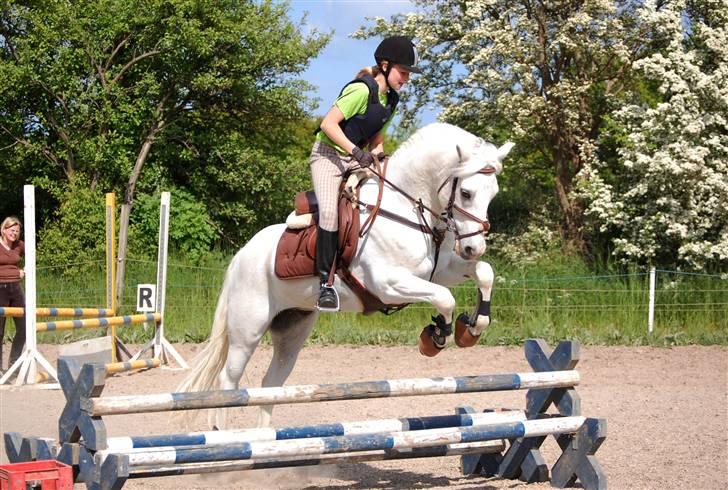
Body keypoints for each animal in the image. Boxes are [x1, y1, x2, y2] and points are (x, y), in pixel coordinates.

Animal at [177, 122, 514, 428]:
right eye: (466, 193)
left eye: (494, 194)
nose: (472, 247)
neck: (404, 208)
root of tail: (242, 255)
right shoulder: (388, 284)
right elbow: (445, 298)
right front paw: (436, 337)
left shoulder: (436, 271)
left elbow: (484, 273)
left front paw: (472, 328)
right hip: (247, 329)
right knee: (228, 381)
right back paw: (223, 435)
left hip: (293, 327)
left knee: (271, 382)